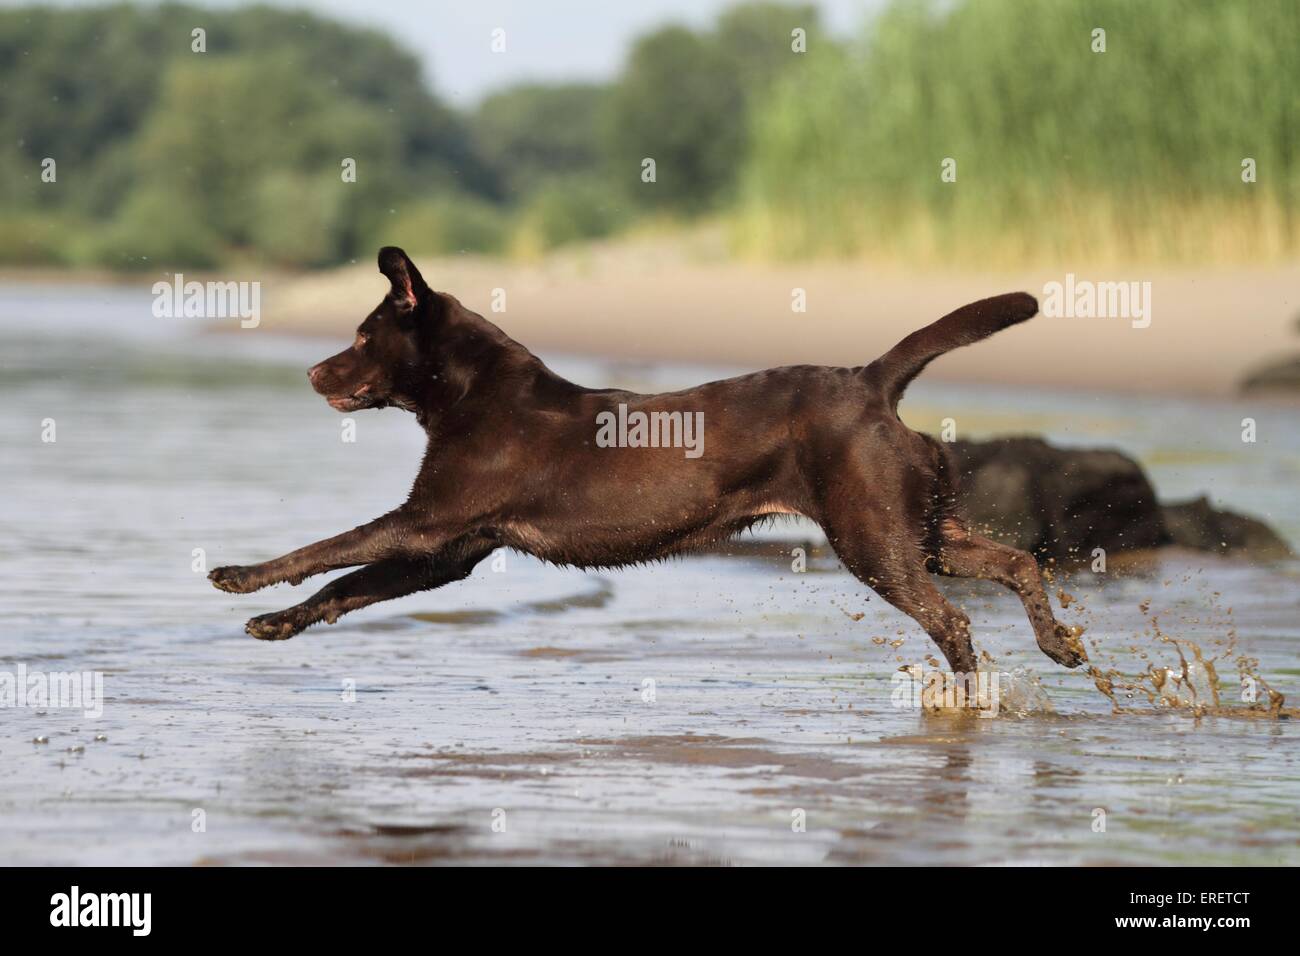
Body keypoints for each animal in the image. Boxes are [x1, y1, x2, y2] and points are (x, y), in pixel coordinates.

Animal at [210, 247, 1086, 671]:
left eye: (362, 336)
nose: (311, 372)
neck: (470, 392)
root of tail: (871, 382)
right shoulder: (448, 552)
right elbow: (346, 586)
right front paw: (275, 622)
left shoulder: (429, 520)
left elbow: (324, 549)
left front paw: (239, 576)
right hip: (923, 528)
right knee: (1016, 562)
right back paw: (1060, 646)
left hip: (872, 538)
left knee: (953, 620)